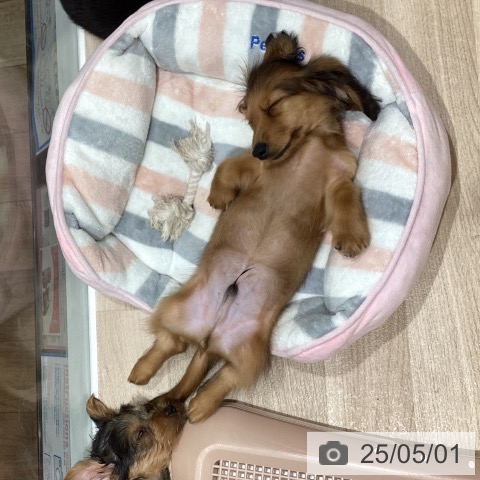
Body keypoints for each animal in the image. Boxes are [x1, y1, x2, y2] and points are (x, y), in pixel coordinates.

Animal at [128, 32, 380, 423]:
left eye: (274, 104)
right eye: (249, 117)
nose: (260, 147)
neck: (305, 147)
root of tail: (210, 337)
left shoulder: (339, 178)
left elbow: (347, 197)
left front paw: (351, 236)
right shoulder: (256, 168)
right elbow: (228, 165)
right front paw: (218, 197)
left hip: (252, 356)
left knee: (222, 378)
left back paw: (197, 404)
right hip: (174, 311)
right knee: (169, 344)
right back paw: (143, 372)